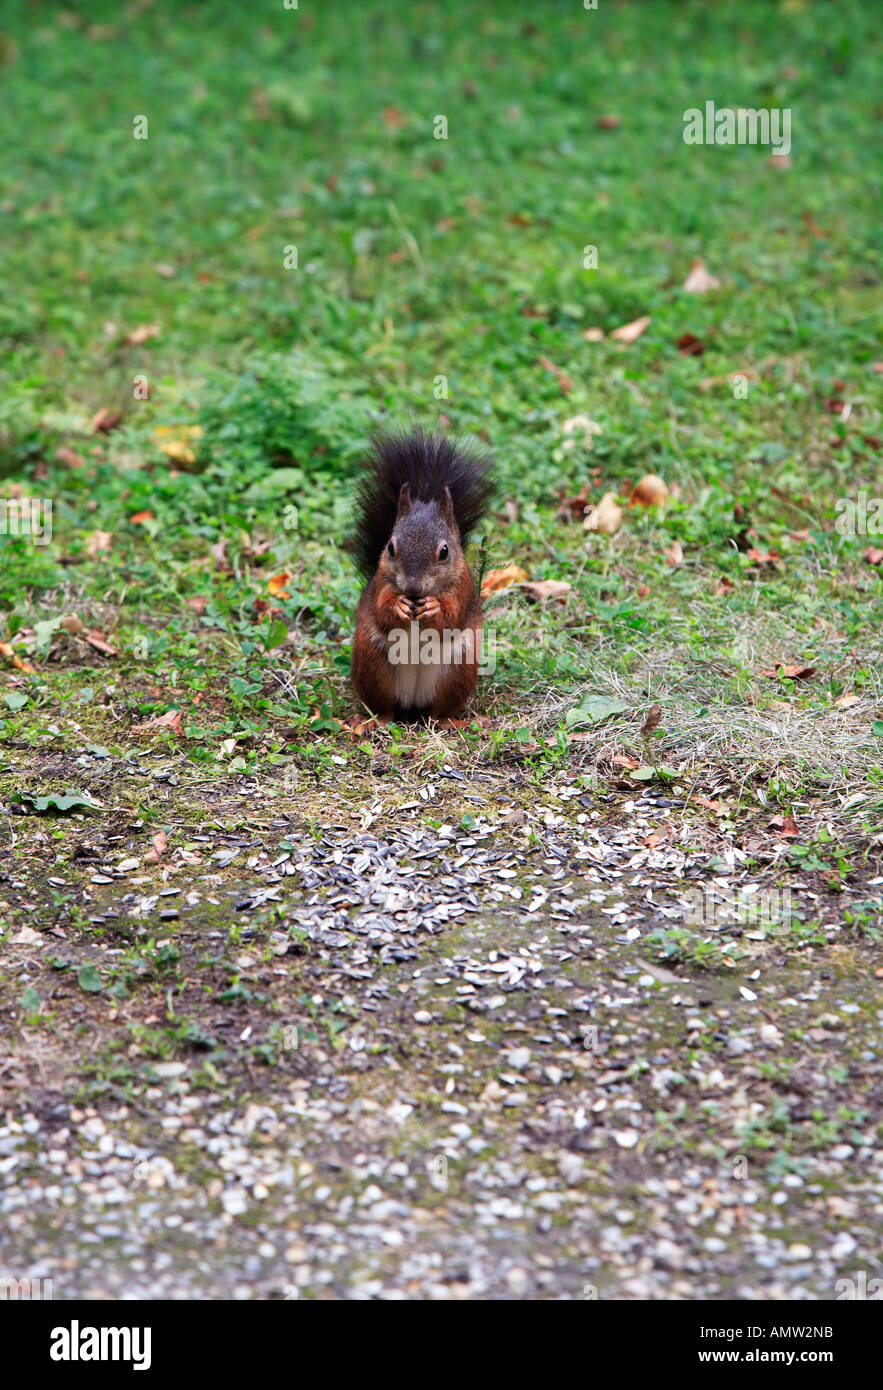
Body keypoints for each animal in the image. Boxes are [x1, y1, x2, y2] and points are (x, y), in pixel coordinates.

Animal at [350, 428, 494, 722]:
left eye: (444, 551)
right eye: (390, 547)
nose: (413, 588)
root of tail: (413, 703)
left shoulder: (461, 590)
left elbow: (451, 618)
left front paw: (433, 608)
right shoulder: (381, 584)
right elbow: (382, 610)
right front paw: (399, 606)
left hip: (459, 669)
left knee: (439, 711)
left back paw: (450, 722)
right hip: (372, 662)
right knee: (384, 708)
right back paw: (372, 722)